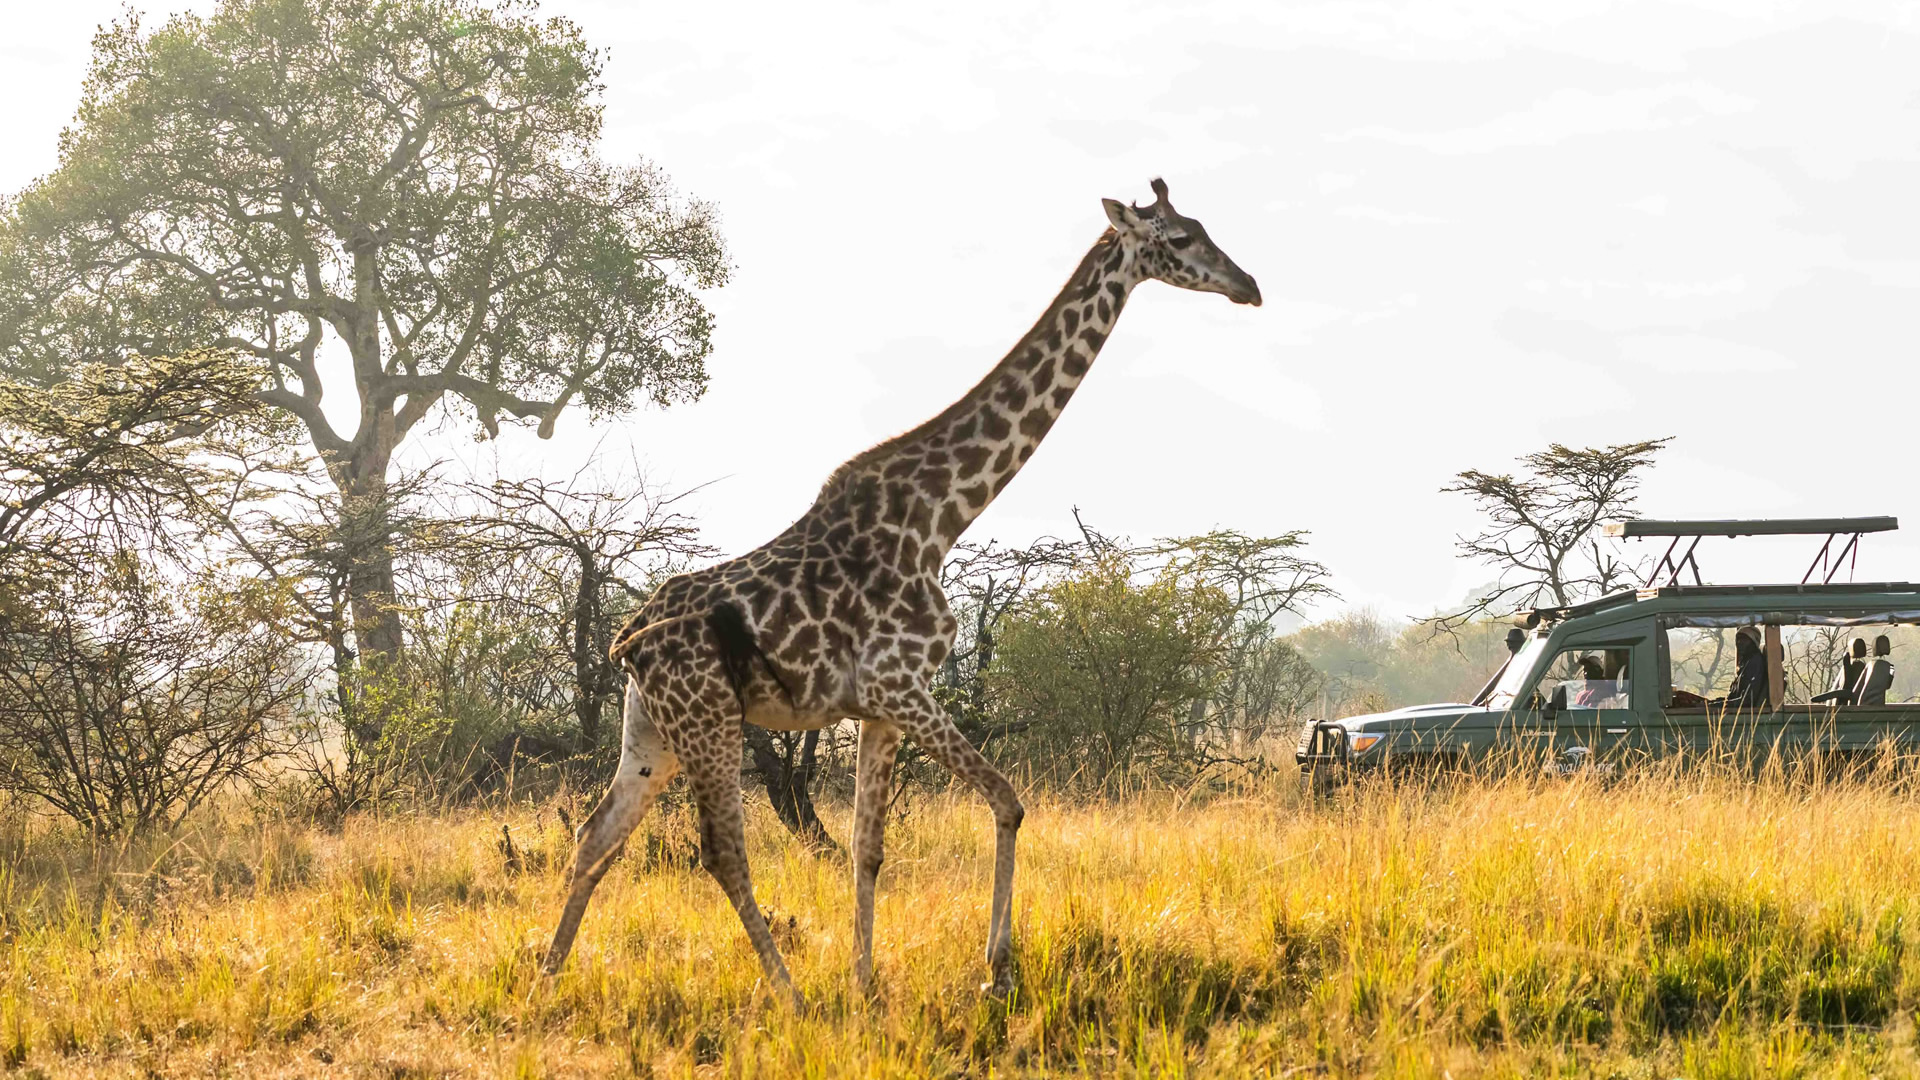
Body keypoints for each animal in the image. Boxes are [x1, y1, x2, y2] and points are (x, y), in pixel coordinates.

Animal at [541, 176, 1259, 999]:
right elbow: (1008, 800)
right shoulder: (901, 684)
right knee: (719, 853)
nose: (1249, 285)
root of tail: (627, 643)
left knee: (594, 837)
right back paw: (789, 995)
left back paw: (546, 980)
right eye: (1180, 237)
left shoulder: (879, 709)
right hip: (709, 721)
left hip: (651, 734)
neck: (941, 516)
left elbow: (867, 848)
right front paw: (994, 971)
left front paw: (867, 986)